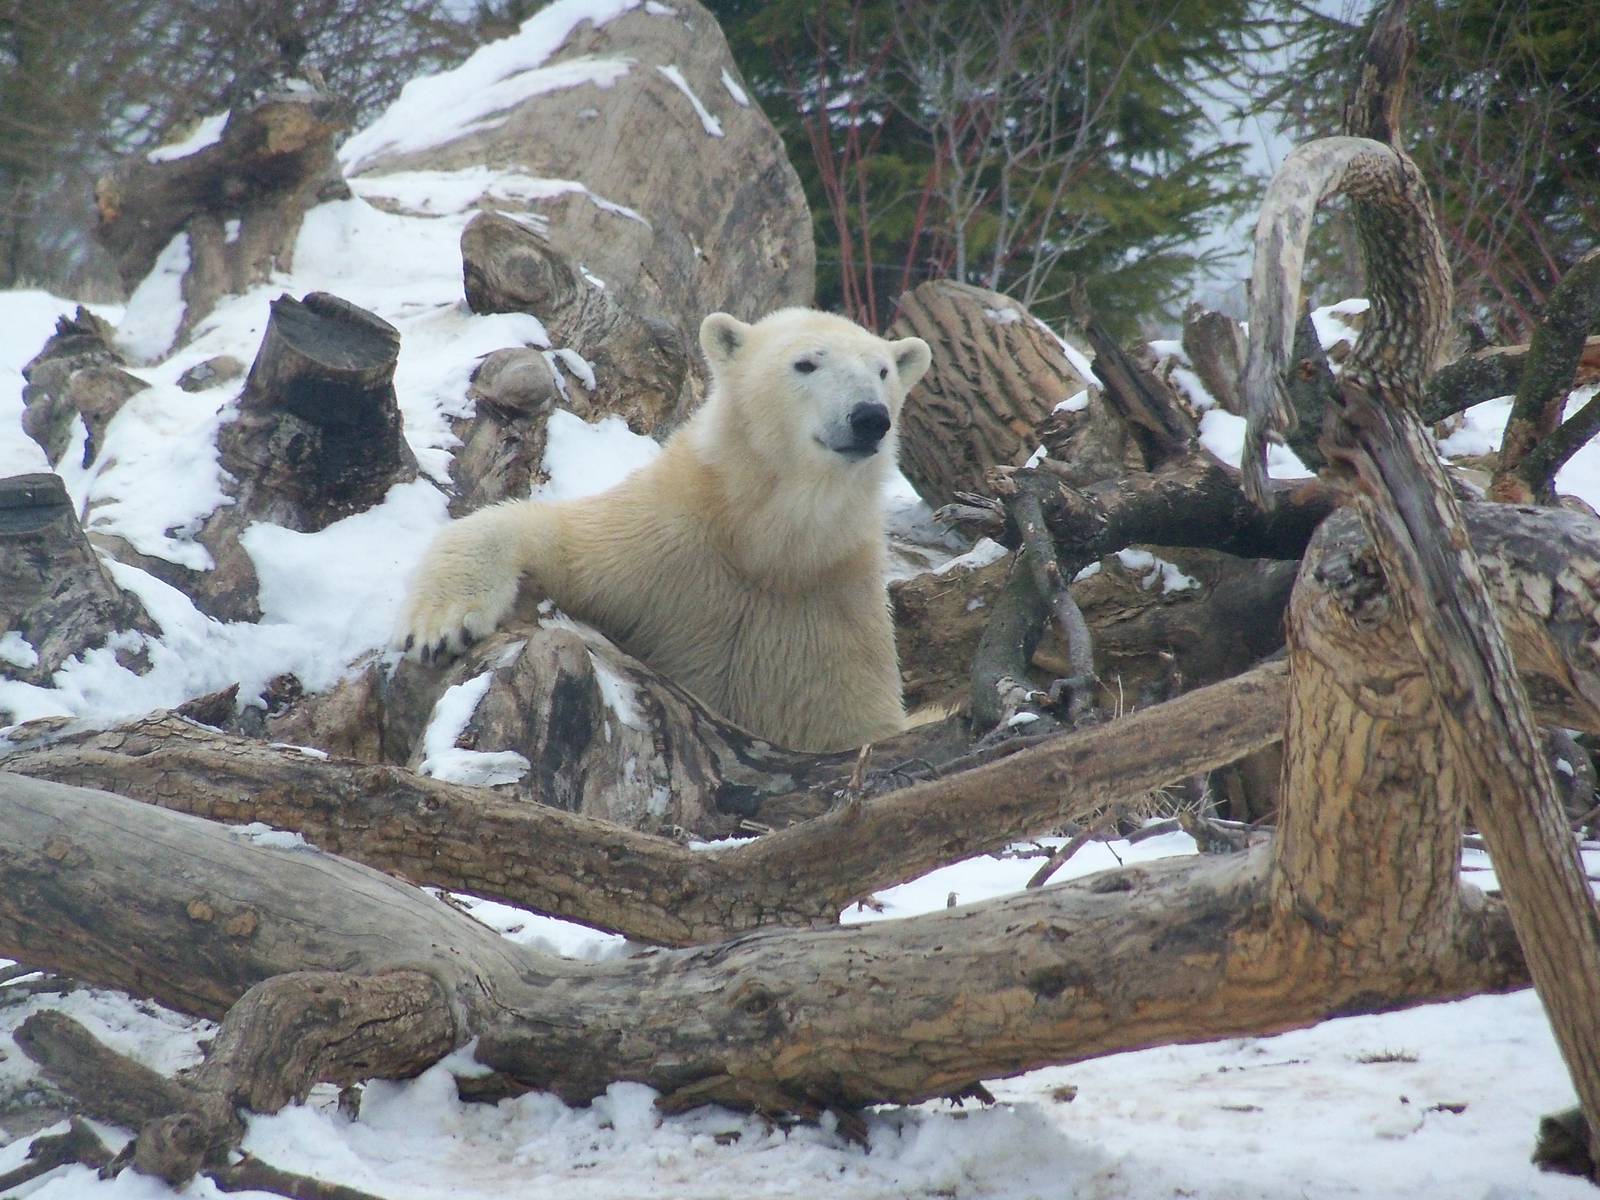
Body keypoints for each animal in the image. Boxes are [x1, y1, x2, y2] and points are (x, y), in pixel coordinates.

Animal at [396, 307, 933, 754]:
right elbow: (551, 535)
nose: (869, 417)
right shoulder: (661, 547)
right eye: (806, 363)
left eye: (883, 371)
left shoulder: (836, 629)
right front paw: (442, 627)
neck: (766, 547)